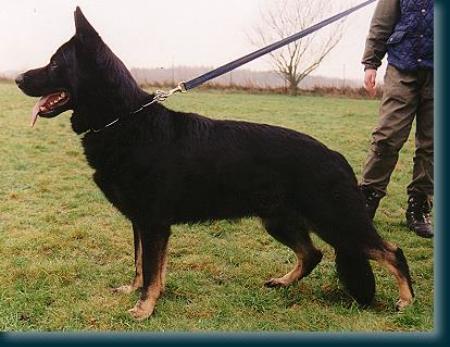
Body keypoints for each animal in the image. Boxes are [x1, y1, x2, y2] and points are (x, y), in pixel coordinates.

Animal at [15, 7, 414, 320]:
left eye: (54, 63)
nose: (17, 77)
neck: (125, 120)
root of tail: (336, 156)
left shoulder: (153, 223)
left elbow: (150, 269)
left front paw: (144, 308)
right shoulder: (142, 224)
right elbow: (143, 266)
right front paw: (140, 294)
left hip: (336, 222)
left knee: (391, 252)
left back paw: (406, 302)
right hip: (279, 221)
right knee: (312, 254)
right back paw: (283, 282)